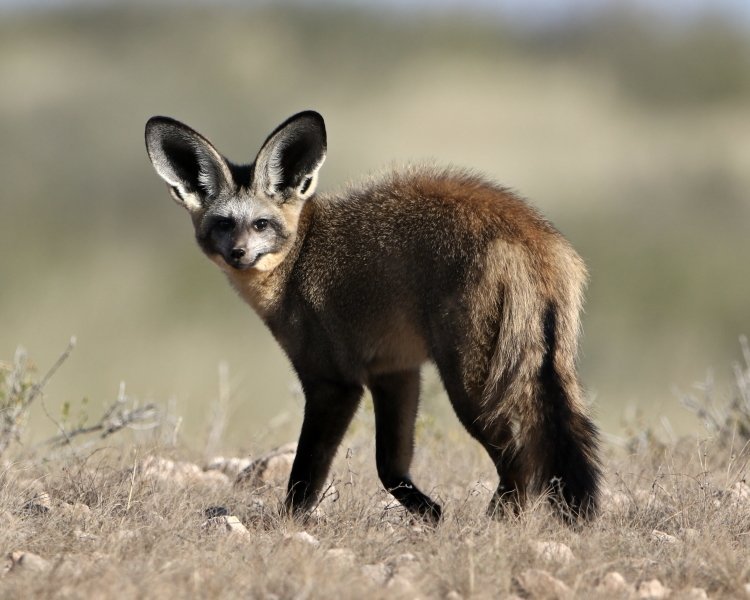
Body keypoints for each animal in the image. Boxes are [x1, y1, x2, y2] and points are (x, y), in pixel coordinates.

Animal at [147, 110, 604, 524]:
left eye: (261, 224)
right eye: (224, 224)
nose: (239, 254)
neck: (299, 260)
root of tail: (528, 231)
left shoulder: (333, 383)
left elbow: (305, 477)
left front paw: (286, 527)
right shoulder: (395, 372)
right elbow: (390, 469)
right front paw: (431, 514)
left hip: (471, 388)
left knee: (520, 458)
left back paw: (491, 526)